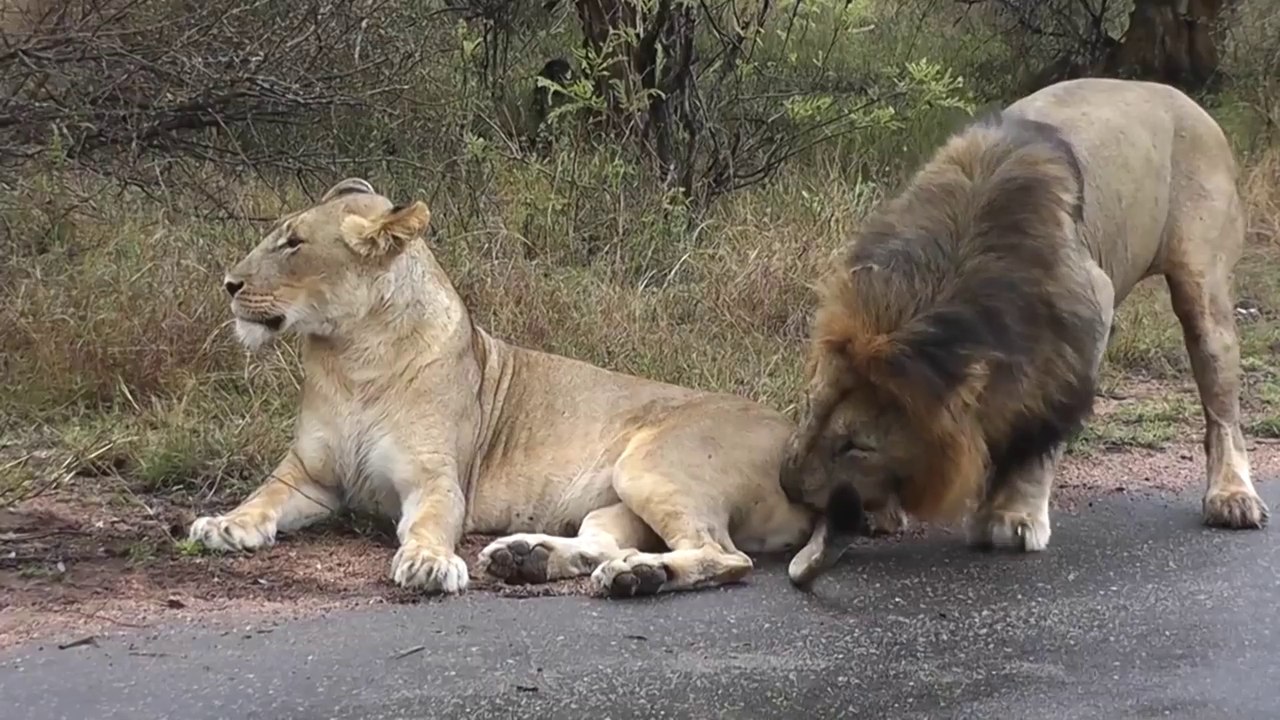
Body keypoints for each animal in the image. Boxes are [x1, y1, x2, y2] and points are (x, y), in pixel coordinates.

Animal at [187, 178, 815, 597]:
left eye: (293, 243)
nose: (228, 283)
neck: (353, 359)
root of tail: (795, 440)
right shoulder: (310, 474)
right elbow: (263, 496)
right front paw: (224, 524)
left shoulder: (437, 479)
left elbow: (428, 523)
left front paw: (428, 563)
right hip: (619, 495)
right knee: (607, 540)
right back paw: (529, 557)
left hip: (649, 466)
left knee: (724, 556)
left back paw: (638, 576)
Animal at [780, 77, 1270, 586]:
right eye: (809, 407)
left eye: (856, 446)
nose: (788, 487)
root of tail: (1178, 95)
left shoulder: (1079, 324)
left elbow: (1038, 435)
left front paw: (1012, 515)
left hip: (1203, 288)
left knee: (1221, 405)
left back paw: (1232, 496)